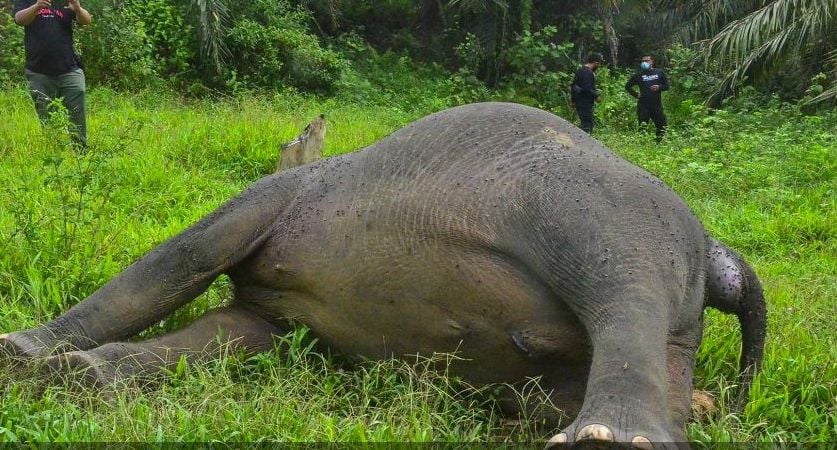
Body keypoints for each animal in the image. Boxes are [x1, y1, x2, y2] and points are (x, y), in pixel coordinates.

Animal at [0, 103, 764, 446]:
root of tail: (716, 252)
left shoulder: (279, 195)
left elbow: (184, 254)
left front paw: (16, 357)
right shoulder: (275, 306)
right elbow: (236, 333)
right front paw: (68, 377)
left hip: (607, 206)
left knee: (623, 284)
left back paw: (606, 440)